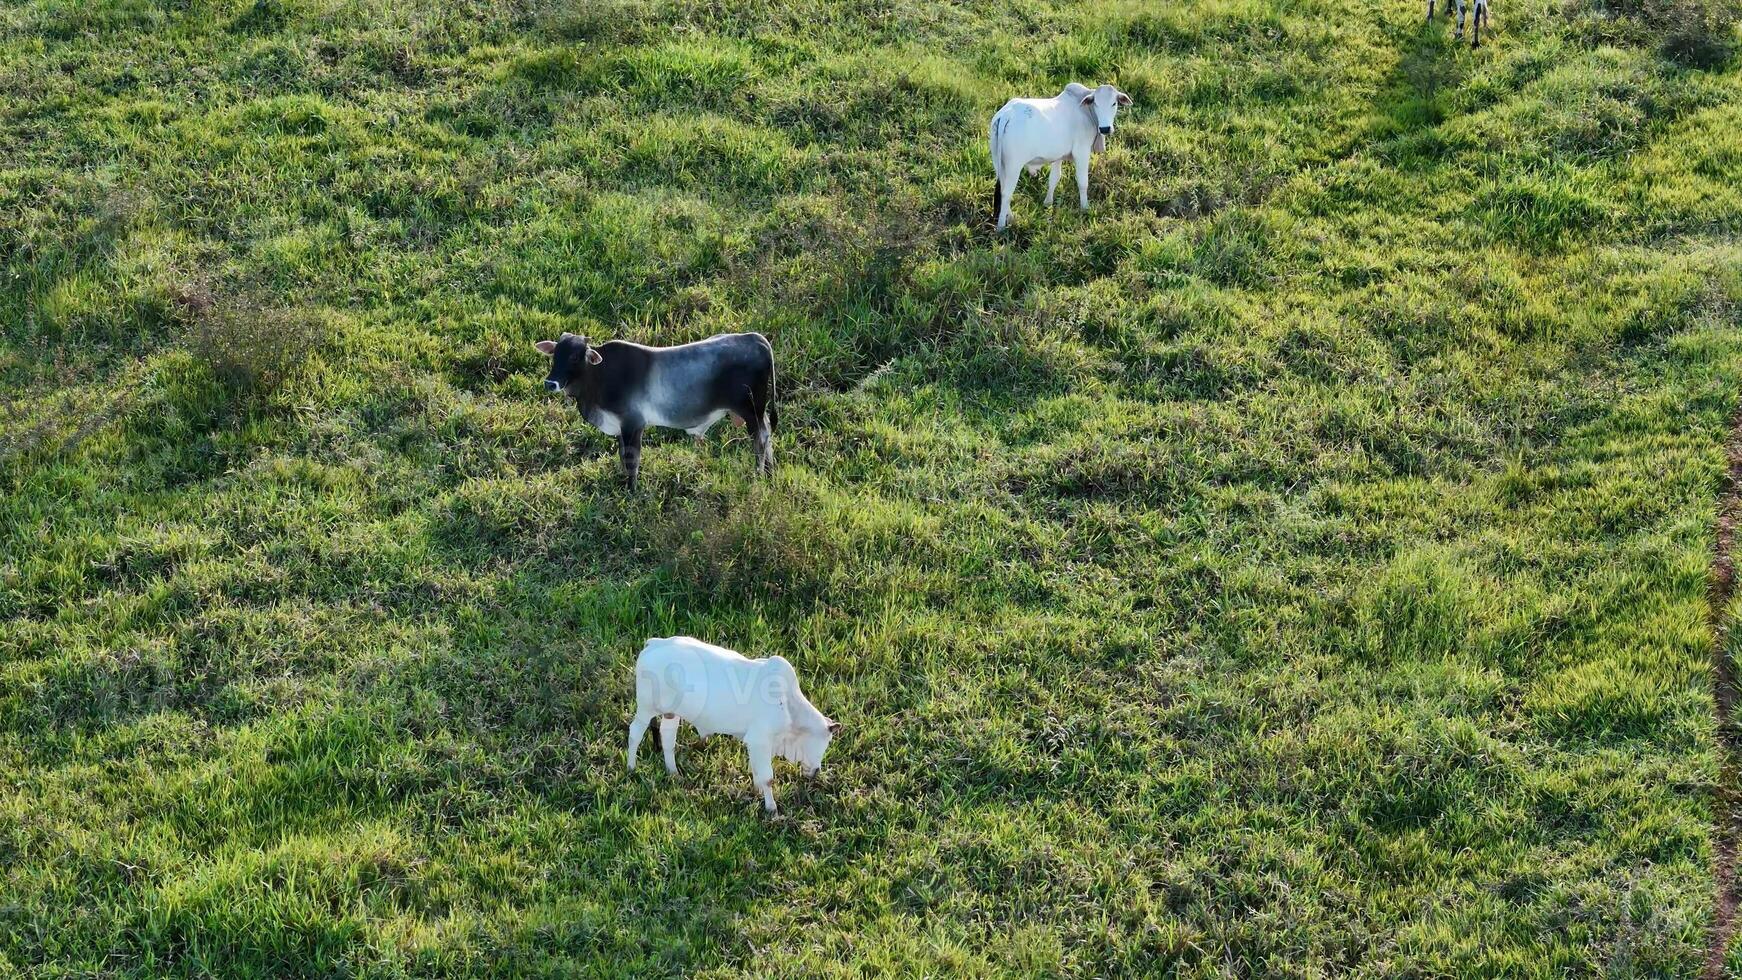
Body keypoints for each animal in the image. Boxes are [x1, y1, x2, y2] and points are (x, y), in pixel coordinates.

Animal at [529, 334, 776, 490]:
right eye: (554, 354)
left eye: (574, 357)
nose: (550, 383)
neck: (599, 376)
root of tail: (755, 338)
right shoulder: (621, 428)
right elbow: (622, 456)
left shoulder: (633, 424)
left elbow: (632, 459)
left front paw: (631, 491)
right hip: (758, 412)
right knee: (768, 435)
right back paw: (770, 473)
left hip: (751, 410)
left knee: (760, 440)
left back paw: (759, 475)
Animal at [627, 637, 843, 814]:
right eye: (826, 741)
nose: (816, 772)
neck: (790, 709)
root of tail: (654, 643)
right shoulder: (760, 740)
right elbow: (767, 777)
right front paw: (772, 810)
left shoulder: (755, 742)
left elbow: (756, 770)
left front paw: (757, 791)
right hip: (646, 708)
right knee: (635, 733)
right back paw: (631, 768)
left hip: (671, 712)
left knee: (667, 737)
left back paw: (673, 772)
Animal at [989, 81, 1135, 231]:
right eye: (1096, 103)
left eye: (1114, 103)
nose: (1105, 128)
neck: (1085, 112)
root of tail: (1006, 114)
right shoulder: (1081, 151)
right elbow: (1082, 182)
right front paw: (1085, 208)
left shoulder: (1058, 157)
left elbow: (1054, 179)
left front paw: (1048, 203)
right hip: (1014, 165)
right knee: (1006, 193)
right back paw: (1001, 226)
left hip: (999, 163)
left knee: (1003, 189)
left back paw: (1011, 218)